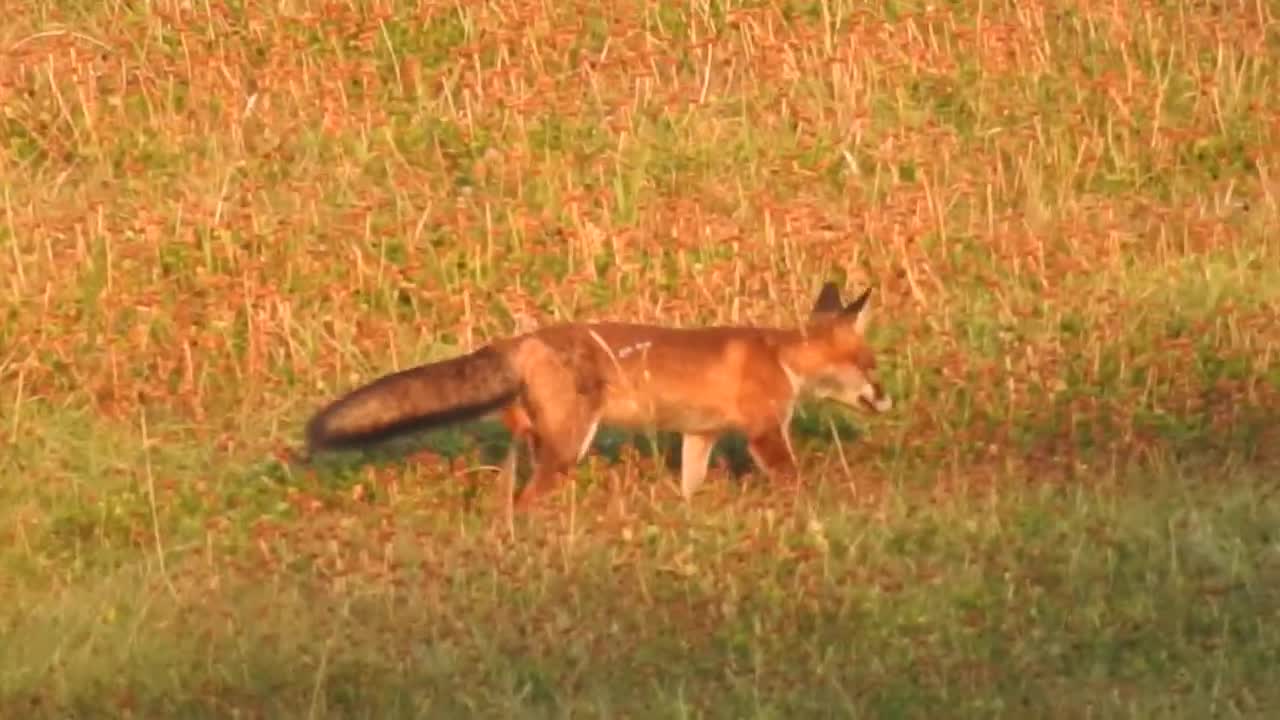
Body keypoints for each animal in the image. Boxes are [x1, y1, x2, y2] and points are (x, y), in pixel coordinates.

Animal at [304, 281, 896, 509]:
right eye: (871, 367)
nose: (887, 399)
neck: (782, 357)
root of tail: (523, 340)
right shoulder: (765, 432)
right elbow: (793, 480)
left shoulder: (699, 434)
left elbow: (690, 482)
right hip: (572, 443)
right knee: (528, 499)